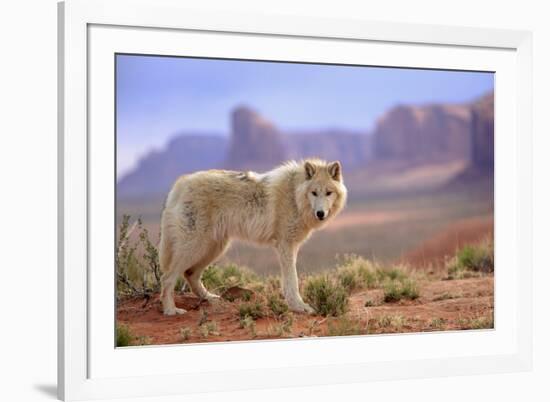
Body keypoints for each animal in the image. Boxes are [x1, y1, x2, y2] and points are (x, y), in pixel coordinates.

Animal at [161, 158, 350, 314]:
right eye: (314, 193)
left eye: (328, 193)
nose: (320, 213)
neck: (295, 196)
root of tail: (180, 183)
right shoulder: (285, 245)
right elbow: (292, 281)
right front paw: (299, 307)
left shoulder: (291, 247)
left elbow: (289, 280)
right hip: (196, 247)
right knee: (168, 278)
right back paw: (171, 311)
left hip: (214, 248)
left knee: (190, 274)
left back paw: (210, 298)